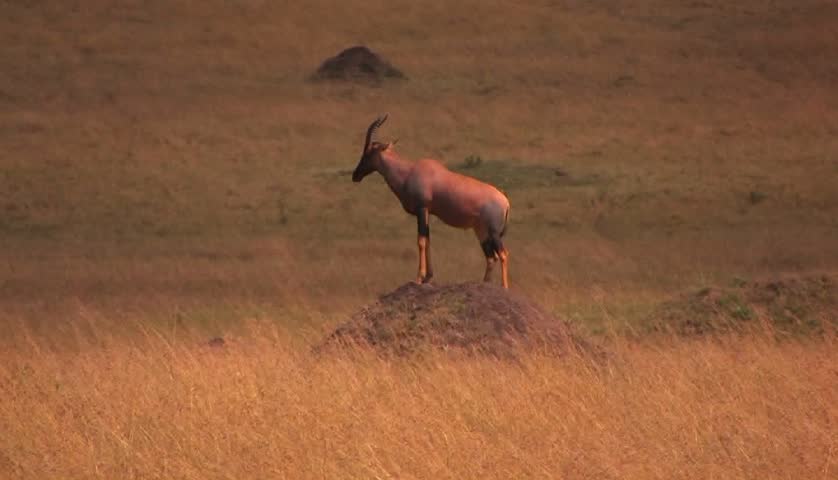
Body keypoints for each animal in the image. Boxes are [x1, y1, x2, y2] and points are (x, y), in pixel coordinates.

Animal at [352, 114, 511, 288]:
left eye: (368, 152)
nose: (355, 175)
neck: (410, 172)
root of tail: (505, 201)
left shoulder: (422, 209)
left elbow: (421, 241)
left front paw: (419, 278)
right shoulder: (426, 212)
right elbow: (428, 240)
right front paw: (428, 277)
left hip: (494, 231)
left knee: (503, 254)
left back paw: (504, 287)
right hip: (481, 231)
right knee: (491, 257)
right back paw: (485, 283)